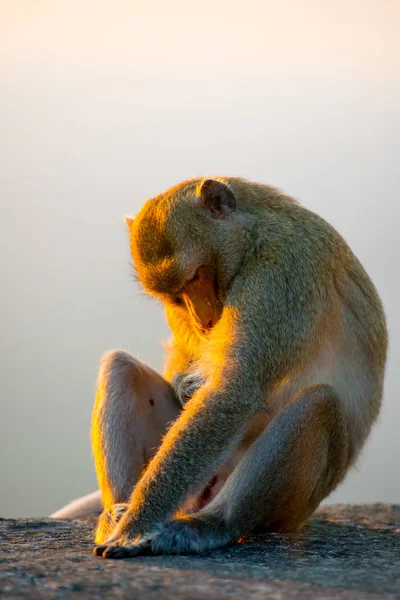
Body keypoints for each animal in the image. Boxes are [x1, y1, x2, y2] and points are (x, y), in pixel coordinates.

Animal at [51, 177, 386, 556]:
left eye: (198, 275)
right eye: (175, 296)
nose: (203, 318)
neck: (253, 235)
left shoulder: (281, 272)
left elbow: (233, 391)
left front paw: (134, 528)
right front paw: (184, 381)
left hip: (293, 505)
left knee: (318, 403)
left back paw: (214, 524)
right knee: (122, 367)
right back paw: (115, 513)